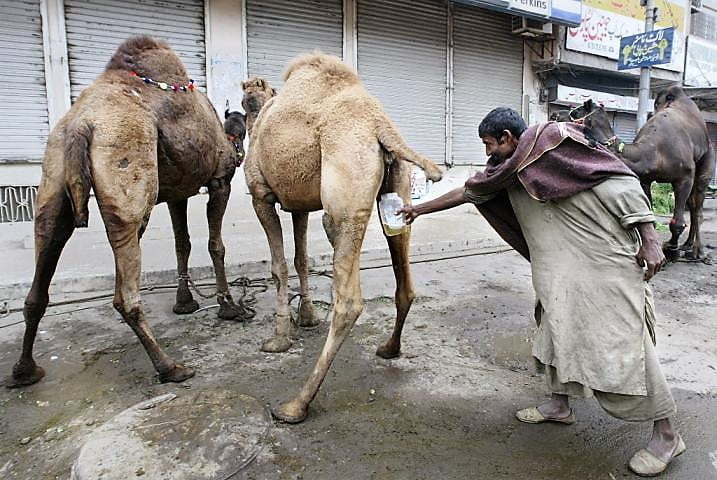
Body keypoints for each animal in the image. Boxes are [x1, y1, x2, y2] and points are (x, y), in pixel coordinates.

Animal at [7, 36, 244, 388]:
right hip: (127, 175)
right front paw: (229, 307)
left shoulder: (177, 194)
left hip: (52, 179)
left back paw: (25, 370)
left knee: (44, 259)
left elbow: (182, 244)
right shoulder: (219, 181)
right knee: (125, 289)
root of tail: (79, 125)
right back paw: (170, 367)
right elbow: (216, 246)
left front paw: (184, 303)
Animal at [242, 53, 443, 423]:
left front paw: (278, 339)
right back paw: (389, 349)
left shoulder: (261, 195)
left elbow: (278, 267)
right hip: (395, 189)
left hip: (343, 196)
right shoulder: (299, 205)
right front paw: (307, 318)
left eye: (245, 99)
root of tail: (380, 125)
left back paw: (296, 404)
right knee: (403, 279)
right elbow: (300, 259)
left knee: (349, 301)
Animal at [568, 87, 714, 261]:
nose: (556, 115)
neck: (656, 150)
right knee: (692, 205)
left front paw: (671, 249)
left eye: (576, 112)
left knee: (697, 206)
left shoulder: (685, 177)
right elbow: (649, 214)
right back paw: (687, 245)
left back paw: (697, 251)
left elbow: (677, 222)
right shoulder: (645, 178)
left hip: (706, 160)